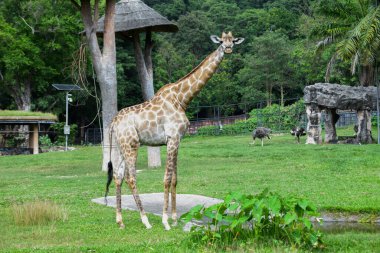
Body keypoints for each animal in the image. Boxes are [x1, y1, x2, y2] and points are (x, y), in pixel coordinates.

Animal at [105, 31, 245, 229]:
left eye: (232, 41)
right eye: (221, 41)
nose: (228, 49)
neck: (182, 98)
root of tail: (113, 123)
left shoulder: (178, 140)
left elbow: (175, 179)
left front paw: (174, 218)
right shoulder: (172, 138)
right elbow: (166, 178)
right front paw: (165, 221)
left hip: (120, 146)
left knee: (118, 176)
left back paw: (120, 221)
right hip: (131, 144)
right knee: (130, 177)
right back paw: (145, 220)